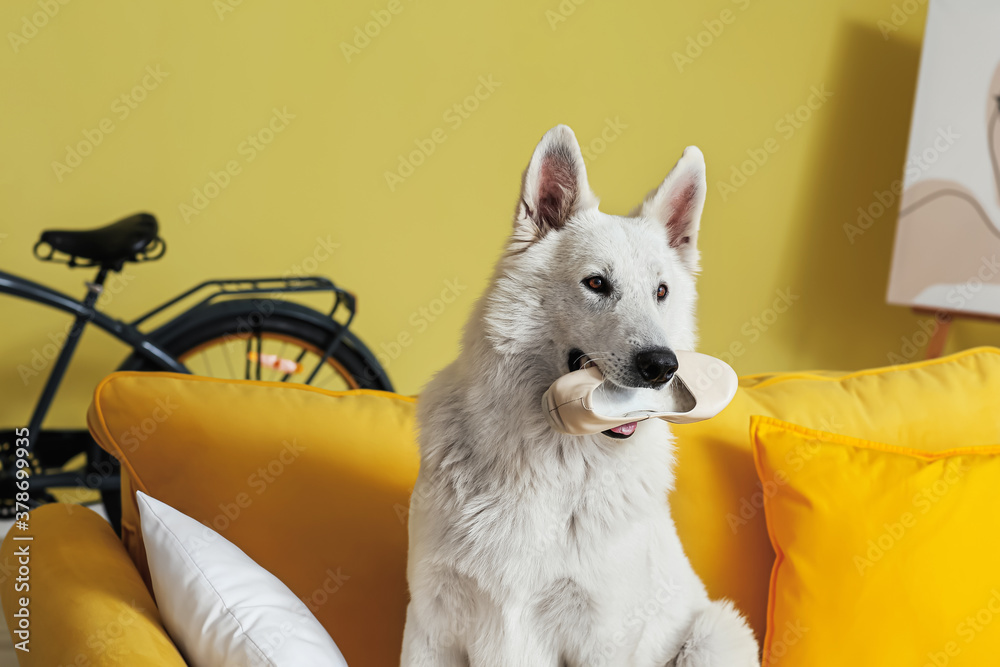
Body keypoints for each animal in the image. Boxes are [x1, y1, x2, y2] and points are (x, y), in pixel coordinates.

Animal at [400, 125, 756, 667]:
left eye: (661, 292)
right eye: (596, 283)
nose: (661, 365)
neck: (552, 459)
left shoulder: (602, 636)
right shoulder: (430, 626)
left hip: (715, 633)